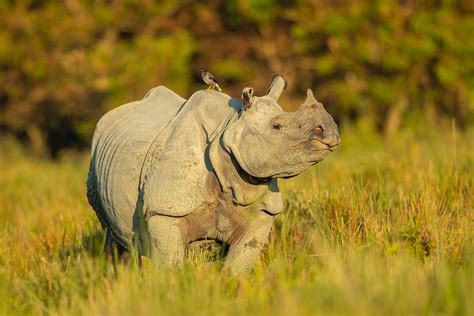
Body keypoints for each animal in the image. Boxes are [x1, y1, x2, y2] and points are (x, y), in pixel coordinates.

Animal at [87, 75, 340, 272]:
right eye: (277, 127)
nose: (331, 132)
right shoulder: (165, 209)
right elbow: (169, 266)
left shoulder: (263, 211)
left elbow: (236, 267)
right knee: (114, 239)